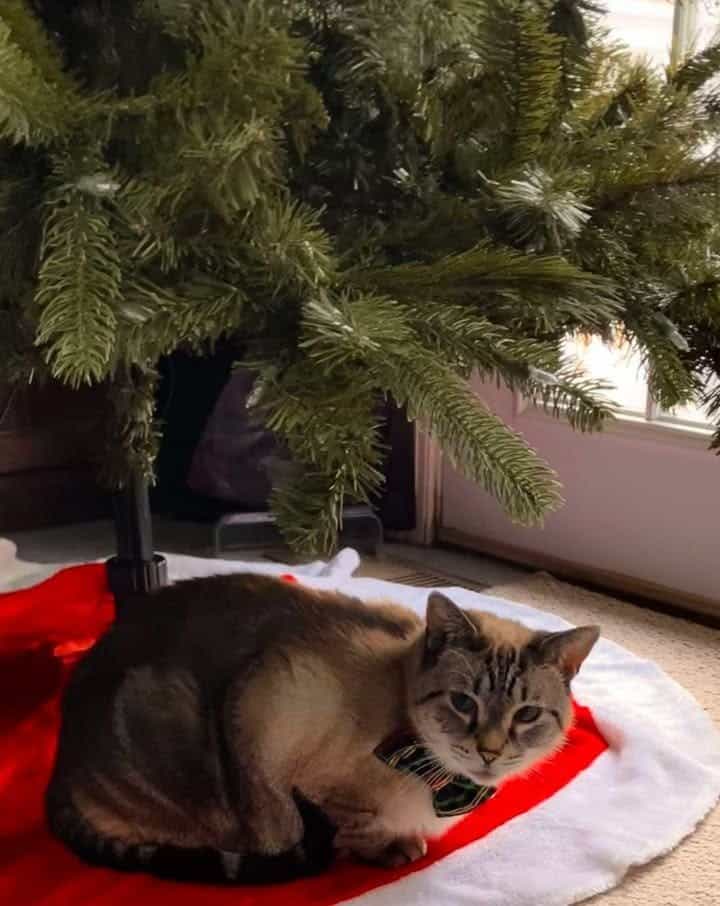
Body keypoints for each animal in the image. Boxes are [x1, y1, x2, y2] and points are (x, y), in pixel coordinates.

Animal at [45, 572, 600, 884]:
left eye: (526, 715)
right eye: (463, 703)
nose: (488, 752)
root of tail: (59, 765)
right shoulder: (275, 703)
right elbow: (353, 827)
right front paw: (392, 850)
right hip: (174, 708)